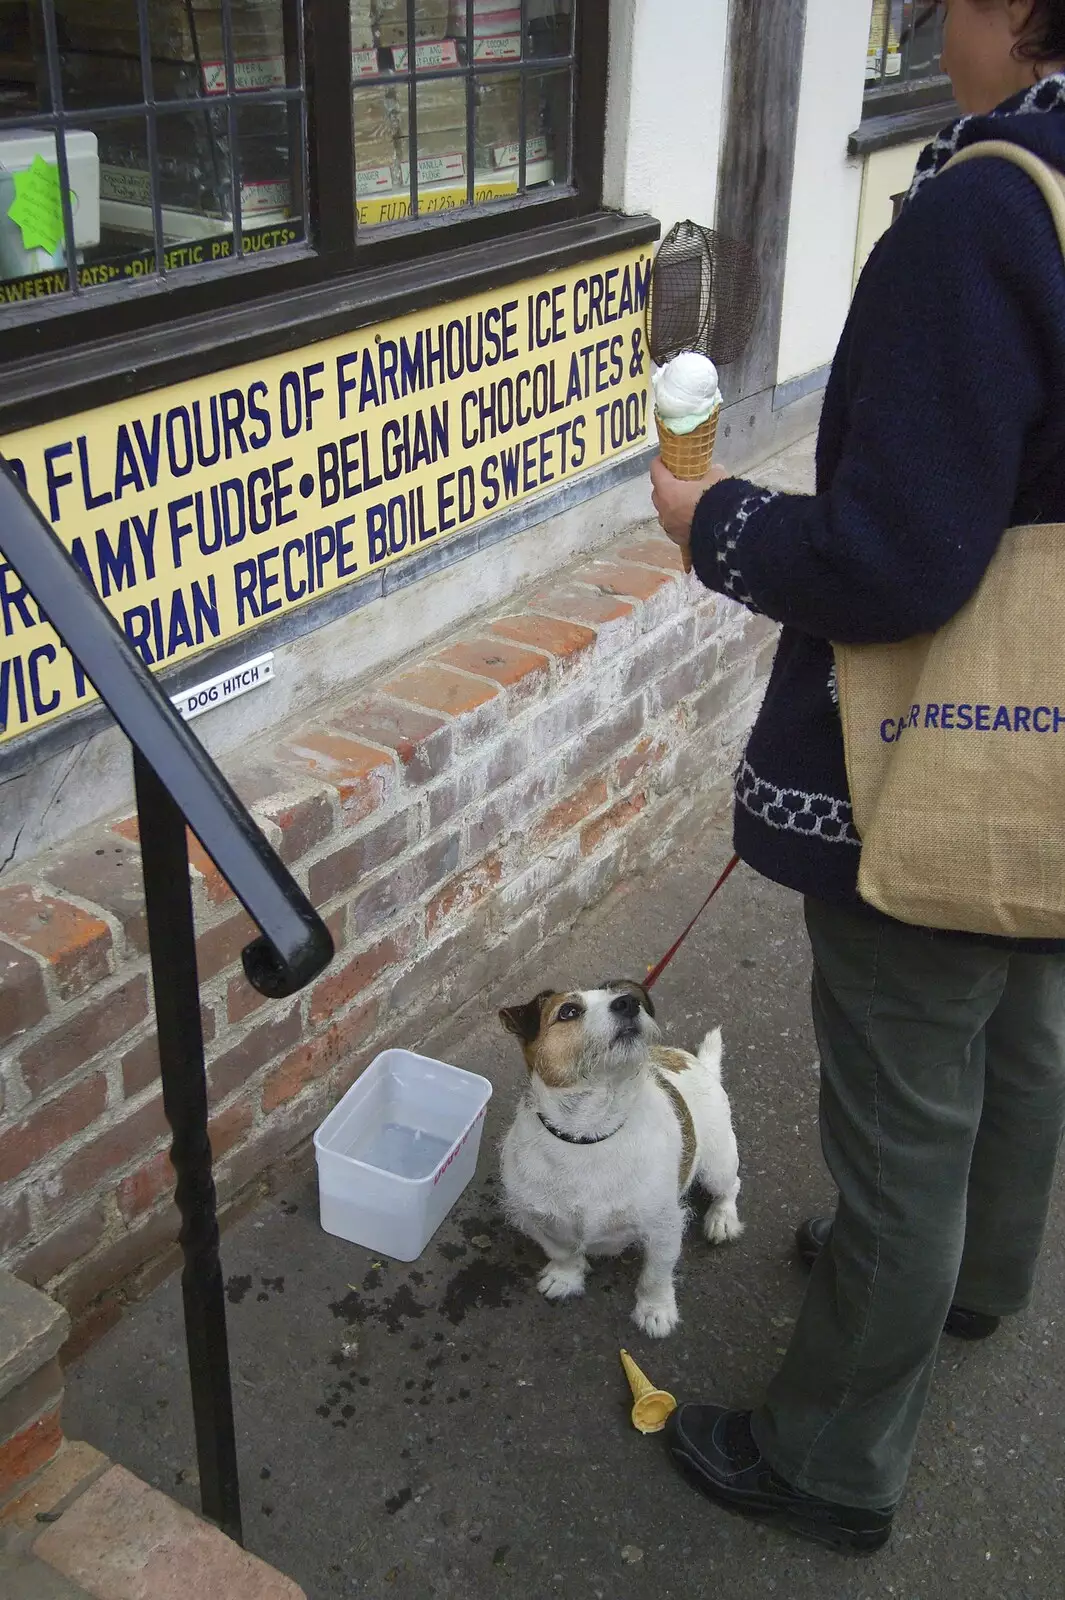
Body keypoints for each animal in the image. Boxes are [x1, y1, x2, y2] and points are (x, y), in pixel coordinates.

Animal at [495, 972, 738, 1337]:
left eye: (623, 995)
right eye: (568, 1011)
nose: (628, 1003)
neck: (589, 1134)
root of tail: (695, 1063)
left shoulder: (664, 1226)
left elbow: (656, 1274)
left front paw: (656, 1311)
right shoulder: (537, 1218)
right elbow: (562, 1252)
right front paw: (566, 1277)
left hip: (717, 1165)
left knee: (731, 1186)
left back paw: (722, 1219)